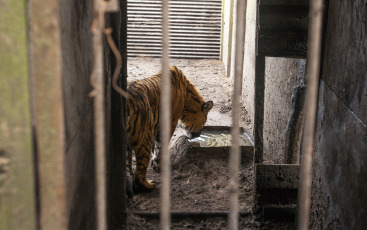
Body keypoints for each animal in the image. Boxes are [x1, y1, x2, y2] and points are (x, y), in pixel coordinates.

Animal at [126, 65, 214, 196]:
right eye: (204, 123)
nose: (198, 135)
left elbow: (156, 147)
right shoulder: (169, 122)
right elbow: (160, 146)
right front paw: (158, 163)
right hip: (144, 138)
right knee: (139, 173)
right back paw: (149, 185)